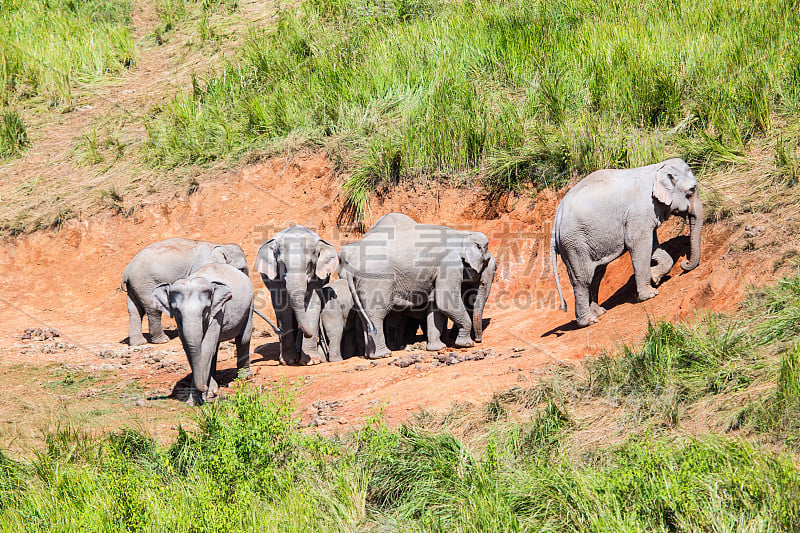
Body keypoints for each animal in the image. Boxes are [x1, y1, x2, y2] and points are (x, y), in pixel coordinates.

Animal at [152, 262, 253, 404]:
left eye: (205, 309)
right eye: (177, 310)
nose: (205, 387)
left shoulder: (218, 312)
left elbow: (205, 348)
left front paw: (200, 397)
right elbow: (189, 348)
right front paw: (204, 394)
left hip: (249, 305)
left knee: (243, 339)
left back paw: (244, 377)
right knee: (215, 348)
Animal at [255, 224, 340, 366]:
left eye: (310, 264)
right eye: (282, 264)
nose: (278, 330)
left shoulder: (317, 277)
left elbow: (312, 304)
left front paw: (311, 361)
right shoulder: (275, 278)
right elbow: (283, 307)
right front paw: (288, 361)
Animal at [338, 212, 494, 358]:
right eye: (486, 262)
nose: (478, 340)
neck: (463, 235)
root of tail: (352, 266)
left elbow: (437, 306)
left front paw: (438, 348)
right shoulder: (449, 264)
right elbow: (446, 302)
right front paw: (466, 345)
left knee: (365, 318)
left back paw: (371, 356)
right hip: (376, 280)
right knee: (376, 314)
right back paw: (384, 354)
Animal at [552, 156, 708, 326]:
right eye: (692, 190)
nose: (685, 263)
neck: (657, 168)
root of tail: (556, 218)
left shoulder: (646, 215)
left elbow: (653, 245)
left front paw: (655, 277)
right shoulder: (640, 211)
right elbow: (639, 244)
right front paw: (651, 294)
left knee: (596, 274)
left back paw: (599, 312)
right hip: (573, 244)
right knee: (582, 279)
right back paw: (589, 321)